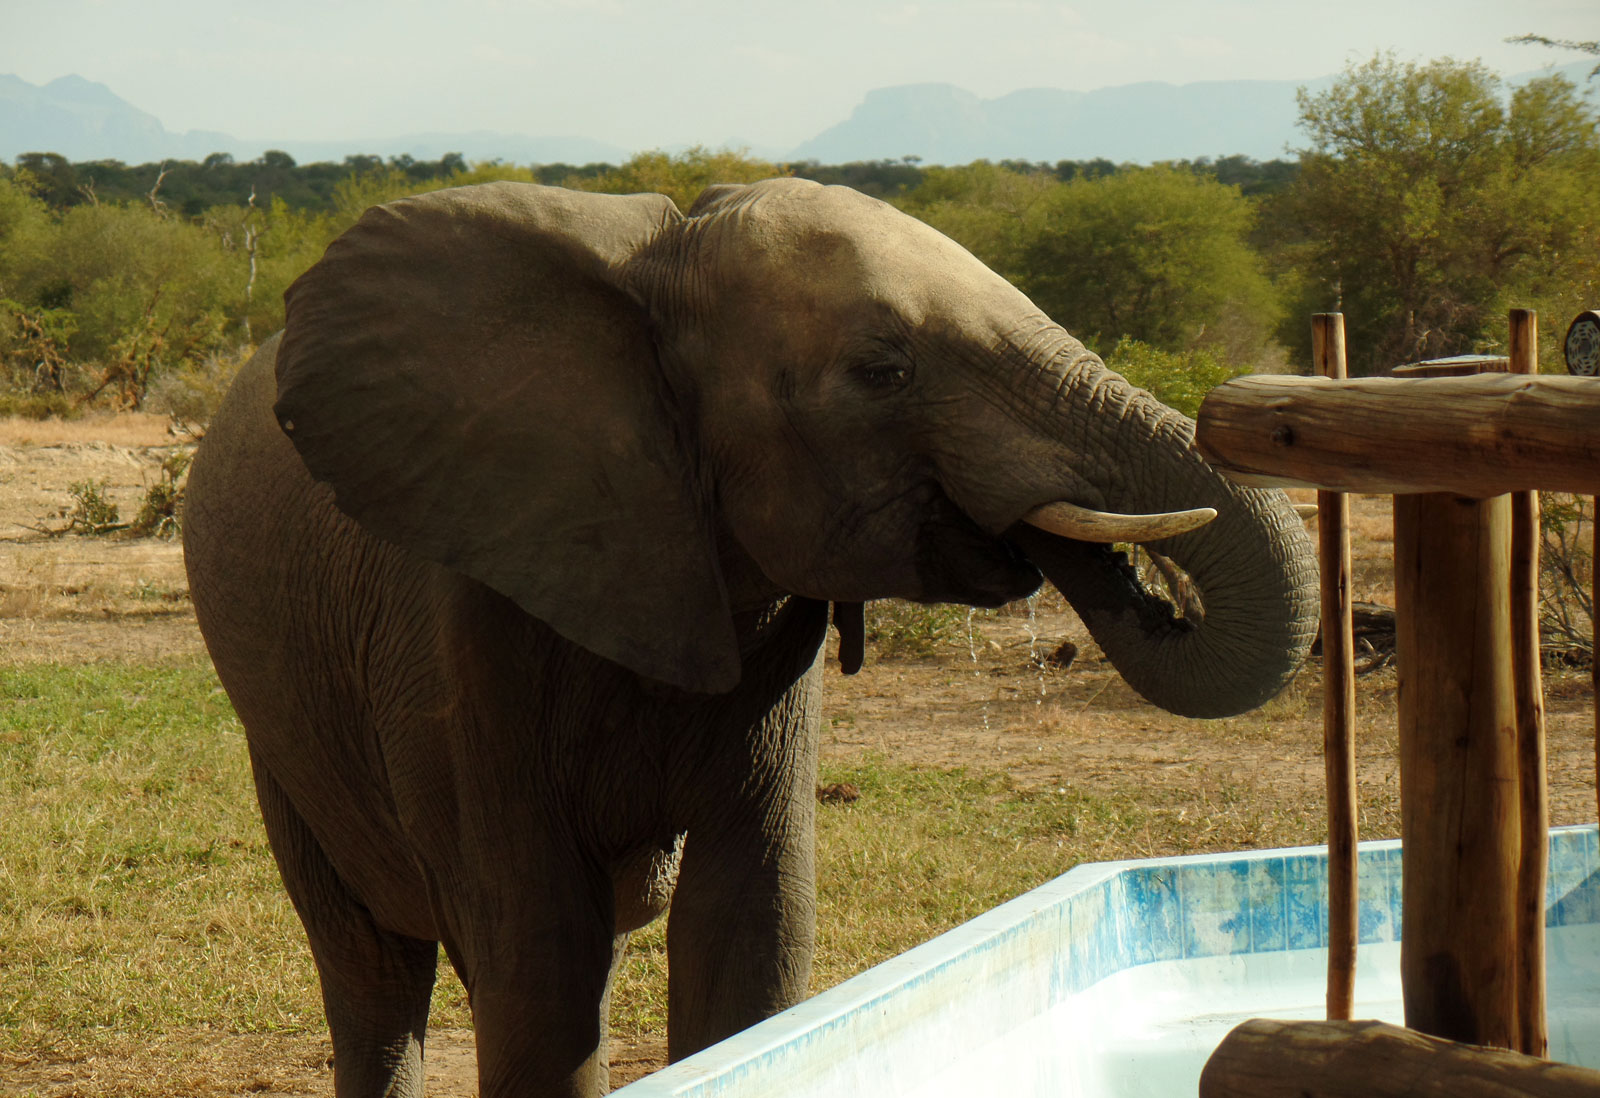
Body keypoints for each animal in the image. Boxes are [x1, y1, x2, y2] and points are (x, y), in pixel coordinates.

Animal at [182, 177, 1317, 1097]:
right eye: (881, 371)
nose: (1151, 597)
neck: (658, 267)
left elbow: (753, 929)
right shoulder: (465, 628)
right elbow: (537, 956)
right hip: (282, 725)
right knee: (372, 969)